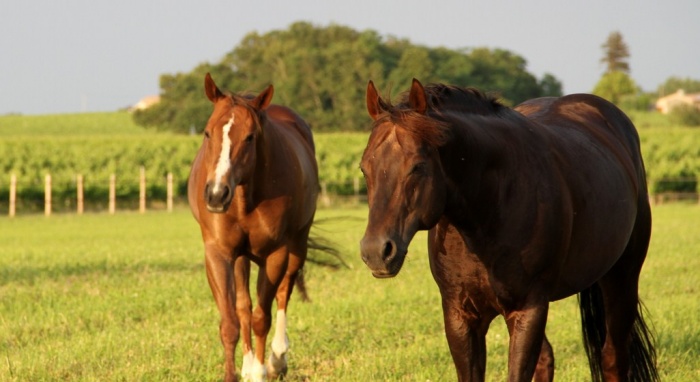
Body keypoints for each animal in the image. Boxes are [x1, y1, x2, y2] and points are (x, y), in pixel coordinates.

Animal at [186, 73, 318, 380]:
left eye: (249, 137)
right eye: (207, 133)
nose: (216, 194)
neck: (244, 198)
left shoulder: (275, 254)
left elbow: (262, 317)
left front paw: (260, 370)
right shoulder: (219, 254)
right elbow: (231, 322)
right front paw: (236, 373)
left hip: (297, 247)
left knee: (283, 293)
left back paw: (277, 359)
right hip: (241, 257)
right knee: (243, 306)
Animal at [358, 79, 660, 380]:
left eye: (418, 166)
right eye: (364, 168)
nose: (376, 252)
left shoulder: (528, 309)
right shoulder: (460, 316)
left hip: (622, 277)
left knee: (612, 357)